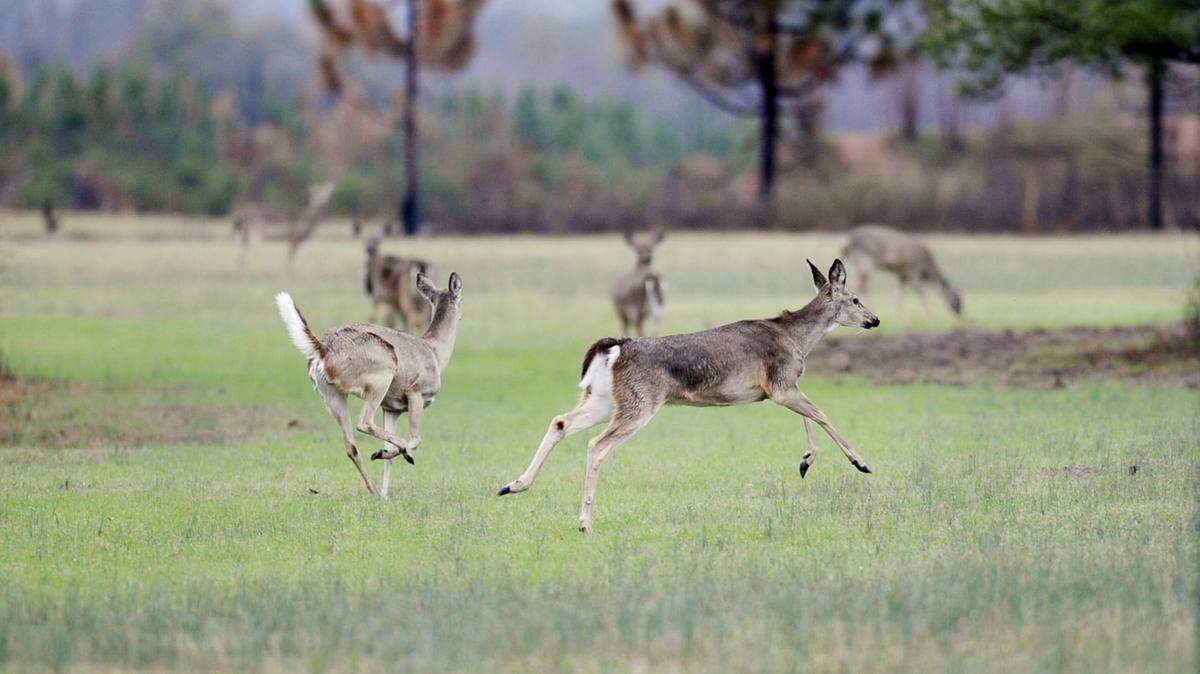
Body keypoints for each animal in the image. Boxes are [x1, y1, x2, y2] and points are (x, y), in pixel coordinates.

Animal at [275, 272, 463, 498]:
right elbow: (417, 438)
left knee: (351, 447)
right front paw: (395, 455)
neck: (435, 352)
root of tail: (324, 349)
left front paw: (385, 494)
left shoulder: (391, 408)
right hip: (381, 375)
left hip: (332, 395)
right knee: (364, 423)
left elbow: (389, 455)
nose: (461, 317)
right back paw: (399, 454)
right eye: (461, 299)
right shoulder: (415, 393)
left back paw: (374, 490)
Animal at [498, 259, 880, 532]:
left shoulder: (779, 388)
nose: (874, 320)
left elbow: (809, 416)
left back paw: (512, 485)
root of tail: (617, 347)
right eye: (856, 298)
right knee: (597, 445)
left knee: (560, 421)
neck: (798, 339)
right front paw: (861, 463)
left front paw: (805, 461)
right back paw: (583, 522)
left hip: (603, 399)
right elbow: (821, 413)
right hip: (639, 402)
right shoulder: (781, 384)